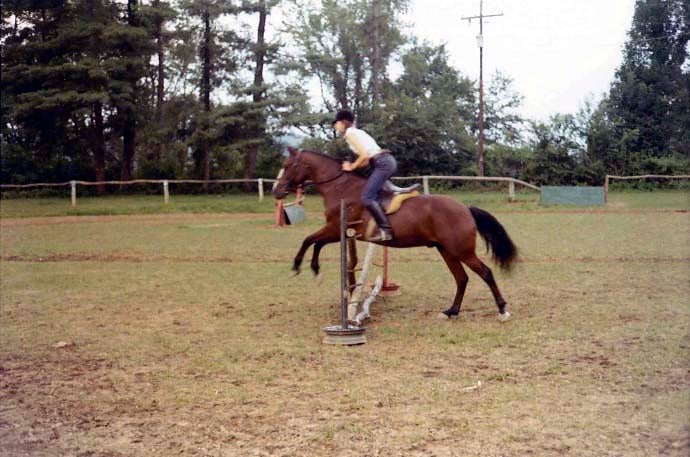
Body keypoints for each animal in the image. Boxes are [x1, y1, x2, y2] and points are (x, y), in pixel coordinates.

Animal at [272, 147, 519, 320]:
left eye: (288, 165)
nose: (276, 191)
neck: (340, 187)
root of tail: (466, 208)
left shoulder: (335, 229)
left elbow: (309, 240)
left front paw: (302, 268)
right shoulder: (338, 231)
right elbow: (315, 243)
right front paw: (314, 270)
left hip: (461, 250)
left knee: (485, 273)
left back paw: (502, 310)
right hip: (446, 250)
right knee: (462, 278)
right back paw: (451, 311)